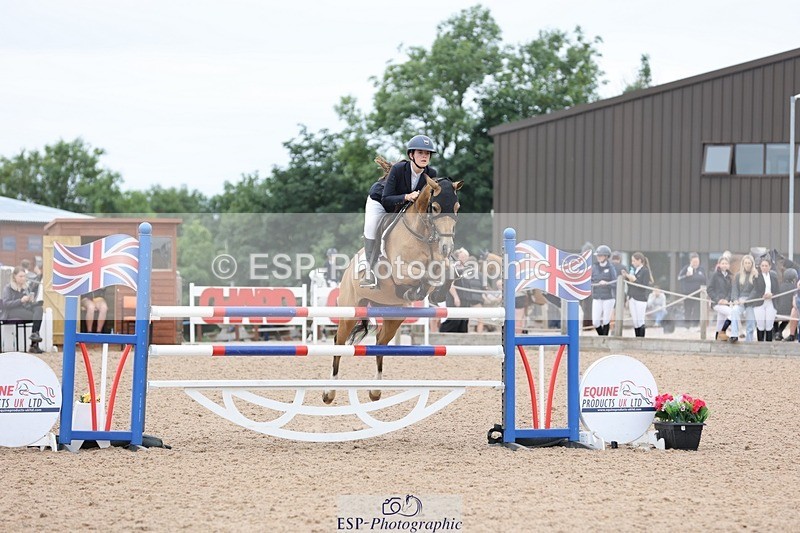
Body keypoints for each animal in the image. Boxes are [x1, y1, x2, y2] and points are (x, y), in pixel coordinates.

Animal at [322, 176, 463, 404]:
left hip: (393, 316)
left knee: (380, 341)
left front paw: (436, 293)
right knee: (339, 342)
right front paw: (417, 291)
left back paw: (375, 390)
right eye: (435, 207)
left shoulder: (440, 262)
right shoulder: (400, 271)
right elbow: (423, 274)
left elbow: (445, 271)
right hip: (350, 312)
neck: (422, 235)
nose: (447, 248)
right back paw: (329, 392)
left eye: (457, 208)